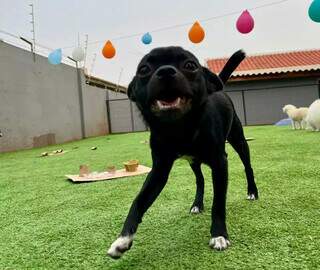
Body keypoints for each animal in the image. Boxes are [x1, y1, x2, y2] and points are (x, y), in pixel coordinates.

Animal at [109, 47, 258, 258]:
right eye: (144, 69)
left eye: (190, 65)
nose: (165, 71)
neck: (179, 128)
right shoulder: (159, 171)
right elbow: (138, 201)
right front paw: (123, 239)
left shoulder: (220, 163)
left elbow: (219, 203)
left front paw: (219, 235)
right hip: (193, 161)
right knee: (200, 179)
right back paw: (197, 204)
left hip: (239, 141)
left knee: (248, 167)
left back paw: (252, 191)